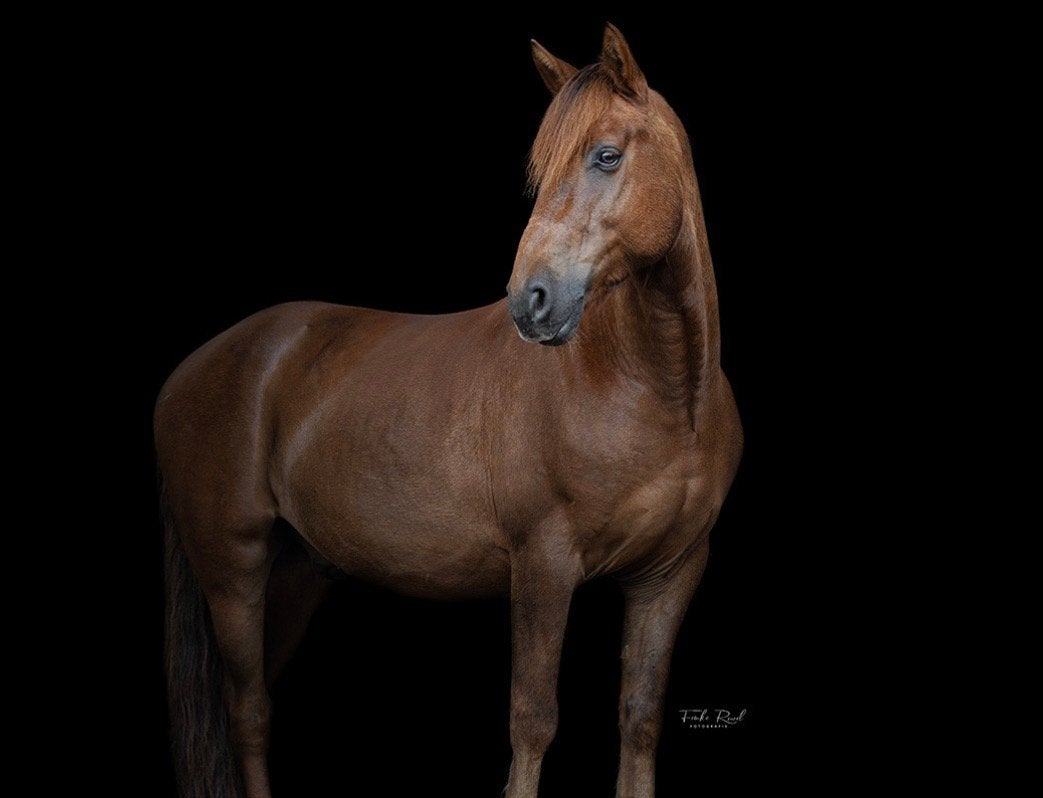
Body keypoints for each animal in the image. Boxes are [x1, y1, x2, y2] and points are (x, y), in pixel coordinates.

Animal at [156, 23, 742, 798]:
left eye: (607, 155)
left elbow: (639, 721)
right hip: (233, 565)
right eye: (539, 170)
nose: (531, 301)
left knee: (250, 704)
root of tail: (188, 374)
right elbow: (532, 723)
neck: (656, 394)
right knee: (246, 710)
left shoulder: (668, 575)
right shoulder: (544, 565)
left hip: (299, 570)